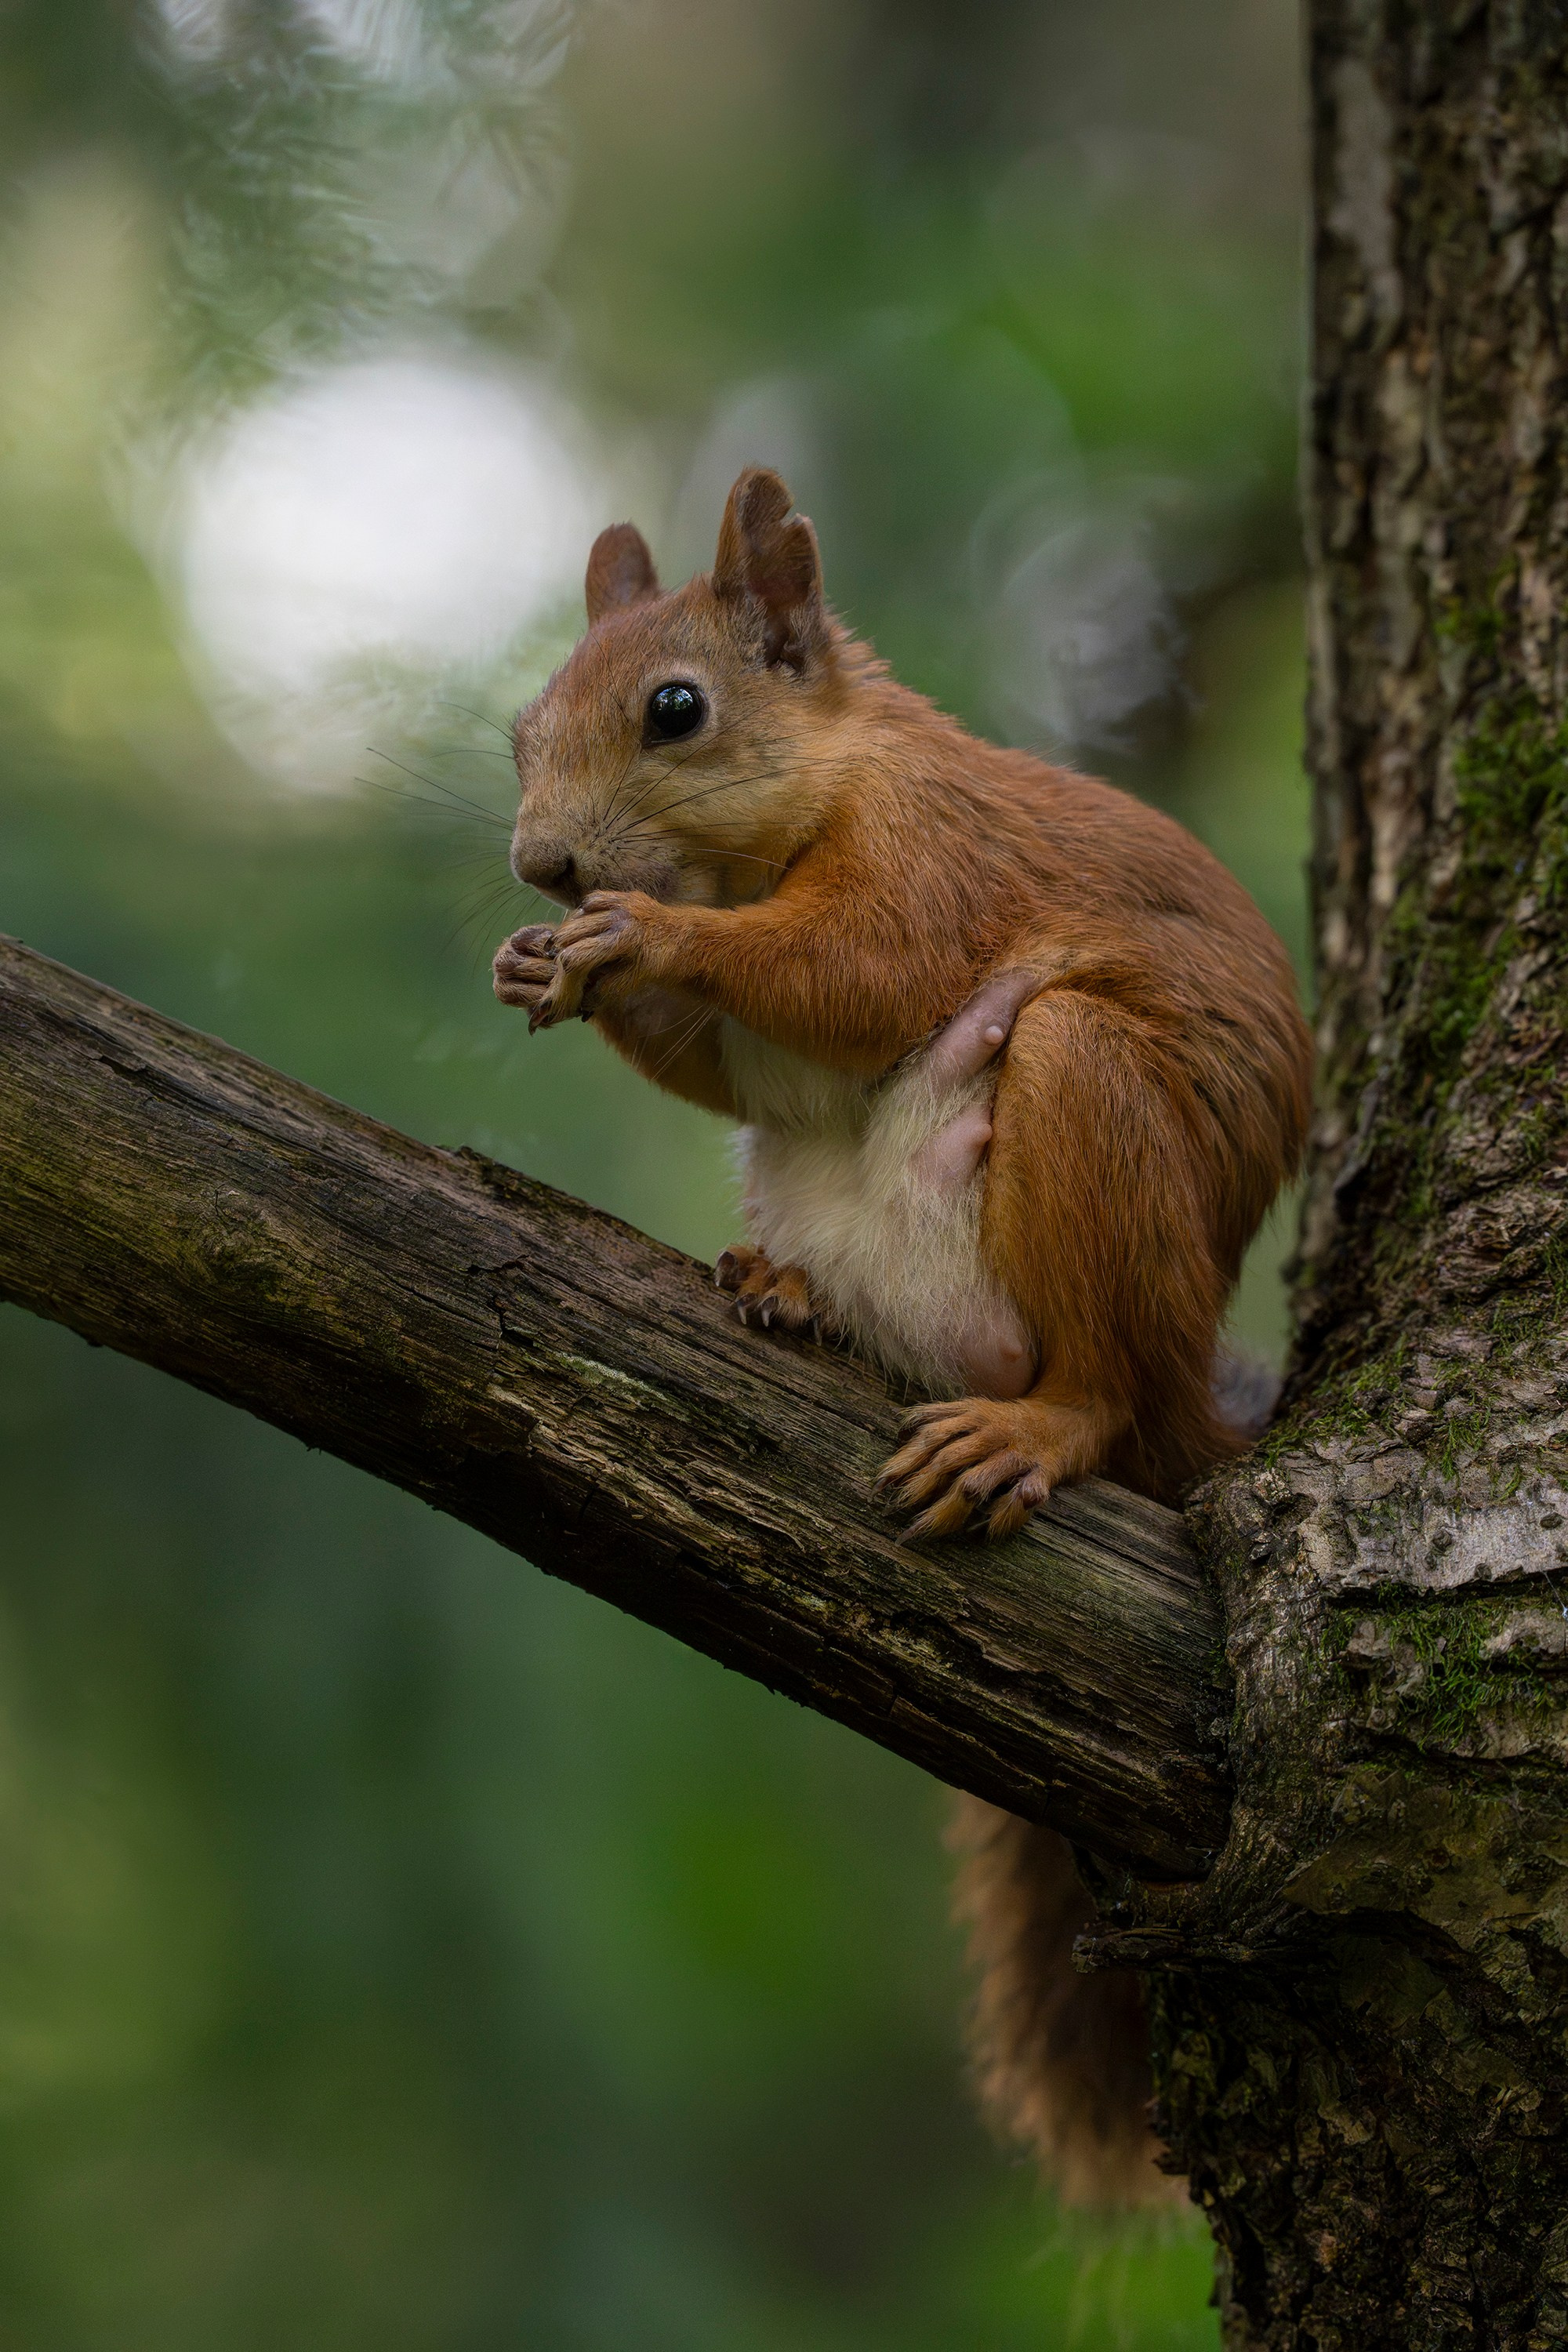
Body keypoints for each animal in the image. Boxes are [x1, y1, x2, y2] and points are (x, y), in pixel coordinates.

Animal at [493, 467, 1313, 2203]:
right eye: (525, 723)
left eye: (677, 710)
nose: (542, 869)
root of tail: (1188, 1413)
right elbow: (717, 1066)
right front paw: (549, 965)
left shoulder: (933, 857)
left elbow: (858, 969)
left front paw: (639, 940)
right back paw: (785, 1292)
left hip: (1087, 1103)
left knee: (1093, 1389)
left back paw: (1030, 1425)